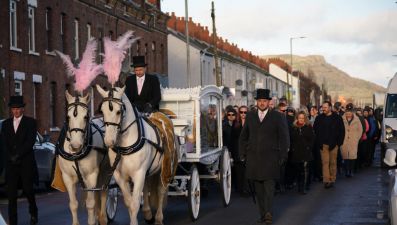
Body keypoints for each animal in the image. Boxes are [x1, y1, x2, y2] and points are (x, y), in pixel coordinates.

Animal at [57, 91, 106, 225]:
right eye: (68, 117)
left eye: (85, 117)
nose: (75, 145)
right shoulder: (67, 177)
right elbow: (73, 204)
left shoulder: (92, 175)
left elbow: (91, 204)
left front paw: (92, 220)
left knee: (103, 193)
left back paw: (102, 218)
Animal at [97, 85, 169, 224]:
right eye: (102, 111)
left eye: (118, 112)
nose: (109, 141)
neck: (125, 146)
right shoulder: (120, 176)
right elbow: (129, 202)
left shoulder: (139, 173)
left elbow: (135, 203)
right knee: (146, 188)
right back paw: (148, 213)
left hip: (164, 170)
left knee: (161, 191)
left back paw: (159, 218)